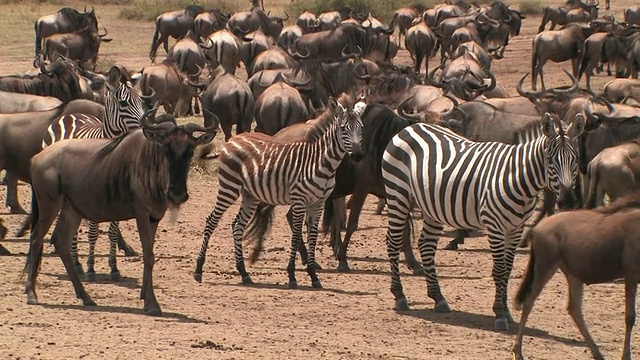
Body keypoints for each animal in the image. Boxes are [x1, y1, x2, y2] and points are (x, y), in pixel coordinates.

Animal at [25, 112, 218, 316]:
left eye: (190, 151)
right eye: (167, 149)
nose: (178, 194)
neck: (152, 164)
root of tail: (36, 158)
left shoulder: (154, 217)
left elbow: (149, 255)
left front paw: (144, 296)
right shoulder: (142, 214)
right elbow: (148, 256)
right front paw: (152, 304)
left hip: (72, 210)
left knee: (60, 241)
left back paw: (86, 297)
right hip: (49, 205)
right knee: (36, 238)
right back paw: (31, 294)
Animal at [41, 66, 149, 282]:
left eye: (142, 101)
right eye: (124, 103)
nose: (146, 127)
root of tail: (70, 115)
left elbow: (113, 232)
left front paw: (114, 268)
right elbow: (93, 232)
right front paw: (91, 268)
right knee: (72, 230)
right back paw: (77, 265)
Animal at [192, 94, 364, 288]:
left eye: (361, 128)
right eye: (343, 129)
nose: (358, 155)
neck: (320, 162)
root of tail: (233, 139)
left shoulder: (318, 203)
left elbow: (312, 236)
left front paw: (314, 276)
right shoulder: (299, 201)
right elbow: (296, 235)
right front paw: (292, 276)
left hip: (250, 195)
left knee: (237, 225)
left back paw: (244, 273)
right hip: (229, 186)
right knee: (211, 221)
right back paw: (198, 270)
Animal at [380, 112, 584, 330]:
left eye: (575, 159)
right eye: (550, 159)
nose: (568, 200)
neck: (517, 178)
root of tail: (411, 127)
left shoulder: (515, 228)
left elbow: (508, 270)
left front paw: (506, 312)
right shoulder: (494, 226)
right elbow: (500, 270)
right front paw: (500, 314)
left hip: (431, 207)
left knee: (426, 244)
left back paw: (438, 298)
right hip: (397, 194)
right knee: (393, 242)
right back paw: (400, 296)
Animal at [512, 191, 640, 360]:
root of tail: (537, 229)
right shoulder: (631, 275)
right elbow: (630, 317)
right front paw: (626, 356)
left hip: (573, 276)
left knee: (574, 309)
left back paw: (597, 353)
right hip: (546, 268)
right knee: (529, 303)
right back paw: (517, 351)